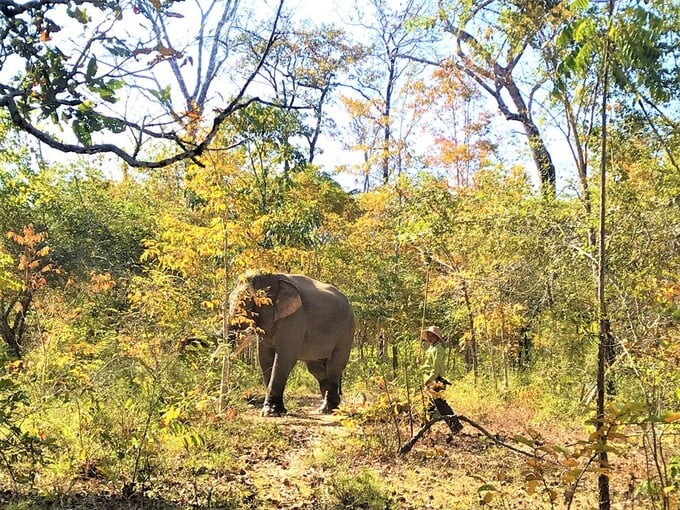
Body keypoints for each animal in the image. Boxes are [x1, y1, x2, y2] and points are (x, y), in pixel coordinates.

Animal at [228, 272, 356, 416]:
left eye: (252, 304)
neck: (275, 277)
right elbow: (265, 358)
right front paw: (274, 411)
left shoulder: (295, 318)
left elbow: (285, 358)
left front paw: (271, 413)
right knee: (317, 369)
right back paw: (327, 408)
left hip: (347, 331)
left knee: (334, 365)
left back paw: (329, 410)